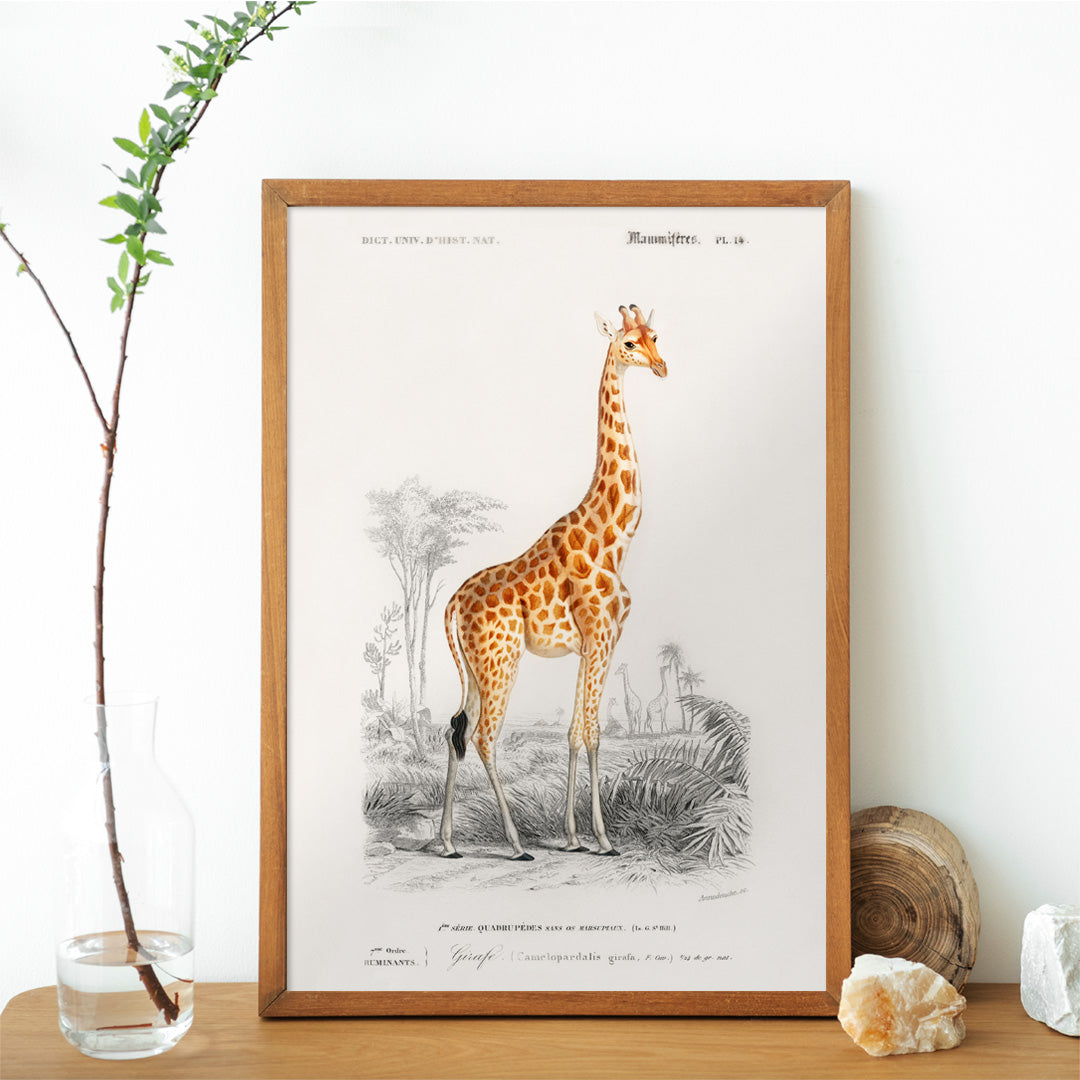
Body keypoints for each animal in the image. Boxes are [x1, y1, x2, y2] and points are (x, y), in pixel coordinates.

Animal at [440, 304, 667, 860]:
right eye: (628, 343)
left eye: (656, 336)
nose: (661, 366)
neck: (615, 537)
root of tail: (452, 604)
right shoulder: (601, 637)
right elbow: (593, 733)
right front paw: (603, 839)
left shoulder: (593, 644)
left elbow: (575, 731)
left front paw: (574, 837)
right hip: (500, 661)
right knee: (483, 737)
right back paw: (517, 844)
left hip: (475, 669)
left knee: (455, 729)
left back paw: (448, 843)